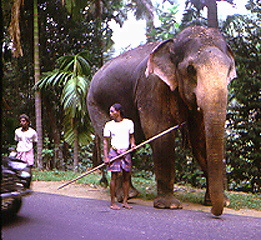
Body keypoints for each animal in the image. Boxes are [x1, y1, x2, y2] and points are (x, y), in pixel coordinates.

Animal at [87, 25, 236, 217]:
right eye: (190, 69)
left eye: (229, 69)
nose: (215, 212)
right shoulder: (152, 86)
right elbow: (160, 133)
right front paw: (169, 206)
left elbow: (200, 138)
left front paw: (220, 202)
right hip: (95, 105)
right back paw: (124, 197)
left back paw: (131, 194)